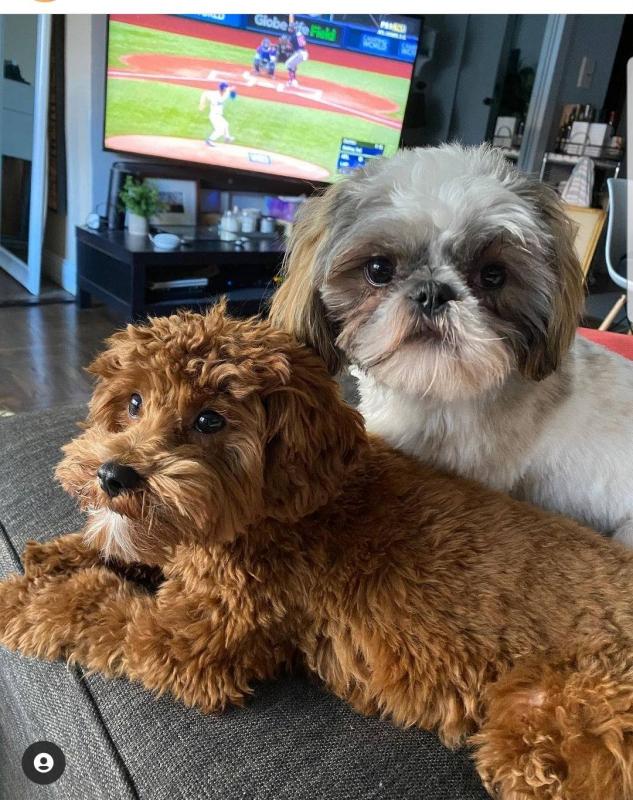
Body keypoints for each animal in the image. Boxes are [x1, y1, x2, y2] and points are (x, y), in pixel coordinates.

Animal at [1, 304, 632, 796]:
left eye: (209, 419)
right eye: (133, 403)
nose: (113, 475)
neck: (283, 510)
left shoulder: (191, 640)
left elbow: (98, 611)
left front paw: (24, 601)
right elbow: (126, 550)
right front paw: (55, 555)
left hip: (546, 731)